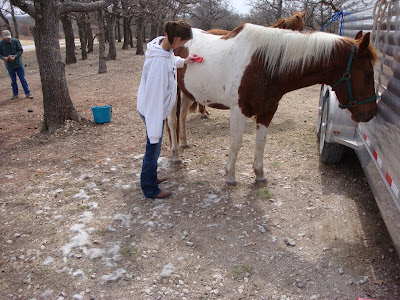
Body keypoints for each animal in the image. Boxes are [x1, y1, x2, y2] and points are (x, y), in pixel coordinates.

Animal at [167, 23, 376, 184]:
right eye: (368, 74)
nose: (370, 113)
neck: (264, 64)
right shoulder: (238, 111)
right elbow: (235, 143)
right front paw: (230, 176)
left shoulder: (268, 111)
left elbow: (261, 143)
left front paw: (259, 174)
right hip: (174, 93)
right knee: (172, 121)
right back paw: (175, 154)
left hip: (189, 92)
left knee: (182, 116)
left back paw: (184, 143)